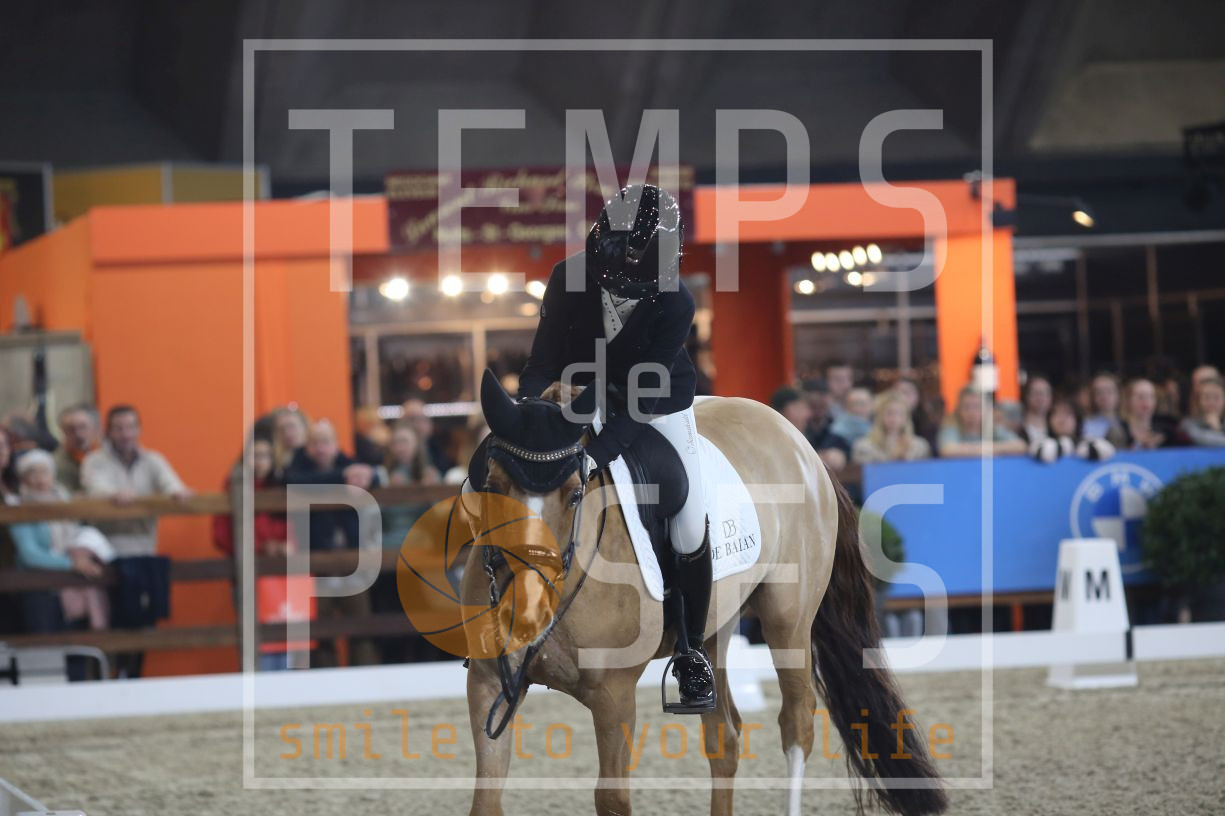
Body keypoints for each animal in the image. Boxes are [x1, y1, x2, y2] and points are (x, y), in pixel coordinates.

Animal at [460, 375, 947, 816]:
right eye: (492, 485)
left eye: (575, 494)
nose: (524, 610)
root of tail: (803, 445)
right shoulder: (488, 684)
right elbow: (485, 801)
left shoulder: (614, 695)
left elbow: (612, 800)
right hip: (716, 627)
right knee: (724, 738)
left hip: (787, 621)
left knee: (797, 724)